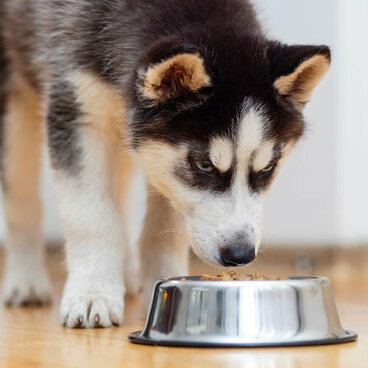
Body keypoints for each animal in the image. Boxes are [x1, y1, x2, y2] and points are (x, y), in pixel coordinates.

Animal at [0, 0, 330, 328]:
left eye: (267, 168)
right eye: (204, 165)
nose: (241, 254)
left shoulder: (159, 159)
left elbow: (165, 225)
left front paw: (162, 283)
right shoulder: (76, 112)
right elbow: (91, 217)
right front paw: (92, 294)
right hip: (14, 109)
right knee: (22, 196)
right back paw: (26, 280)